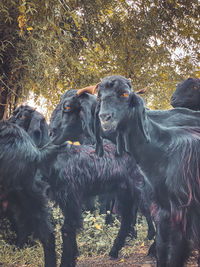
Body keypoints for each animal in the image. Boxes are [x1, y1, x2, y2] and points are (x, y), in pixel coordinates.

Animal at [86, 75, 200, 267]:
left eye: (125, 93)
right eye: (100, 97)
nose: (105, 117)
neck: (162, 149)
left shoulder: (182, 212)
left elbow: (175, 253)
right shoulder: (164, 210)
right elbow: (162, 248)